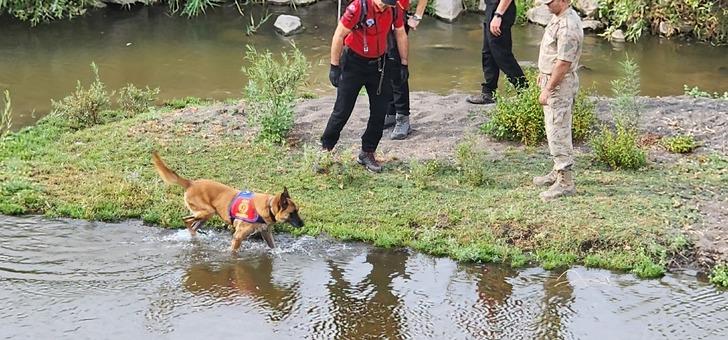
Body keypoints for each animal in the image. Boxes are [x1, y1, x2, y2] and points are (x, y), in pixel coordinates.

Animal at [152, 151, 302, 250]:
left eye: (297, 211)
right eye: (292, 213)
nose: (303, 224)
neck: (268, 206)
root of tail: (191, 183)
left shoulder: (266, 233)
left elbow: (273, 247)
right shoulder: (238, 236)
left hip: (206, 215)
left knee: (191, 224)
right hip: (207, 212)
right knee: (186, 220)